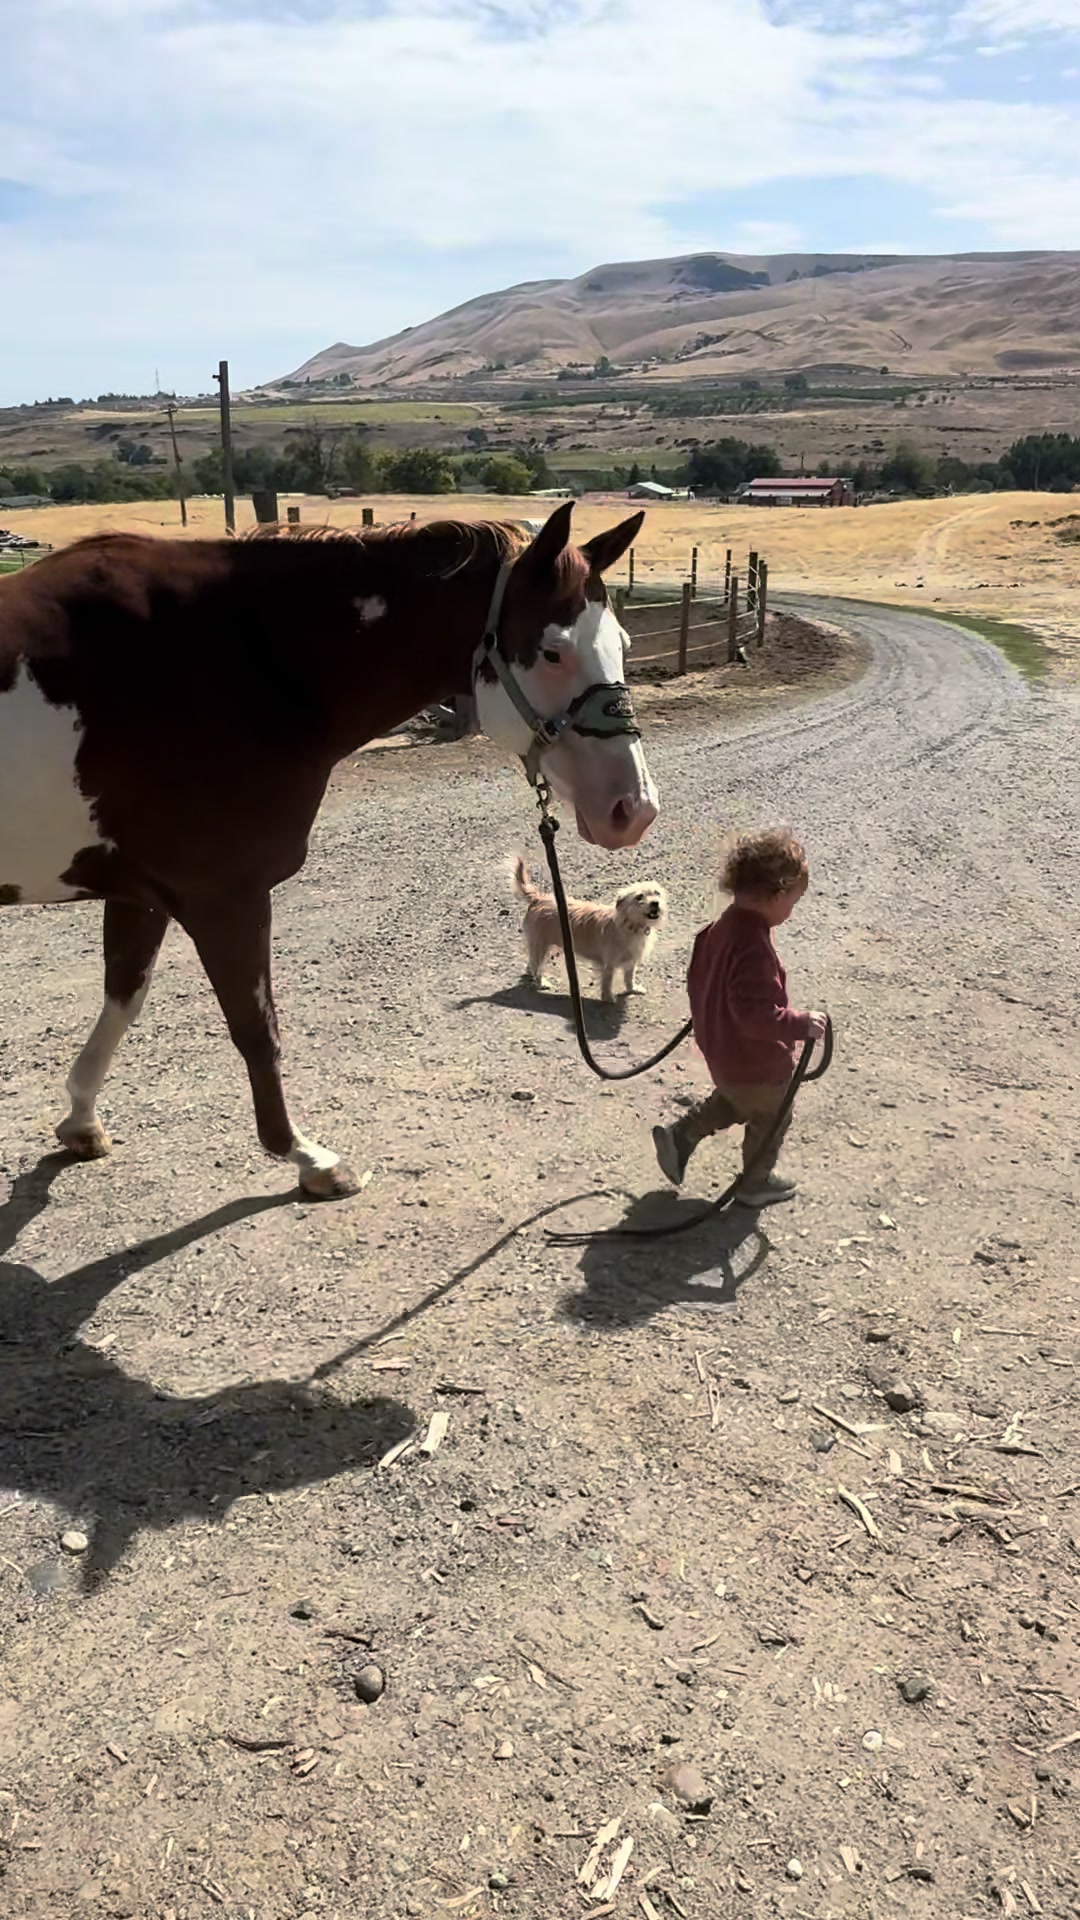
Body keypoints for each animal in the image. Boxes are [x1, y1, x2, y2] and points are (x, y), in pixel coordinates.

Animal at [0, 501, 656, 1197]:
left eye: (622, 644)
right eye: (553, 651)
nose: (633, 809)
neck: (237, 661)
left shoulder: (142, 893)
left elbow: (123, 998)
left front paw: (80, 1120)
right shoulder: (223, 897)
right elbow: (256, 1030)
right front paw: (306, 1157)